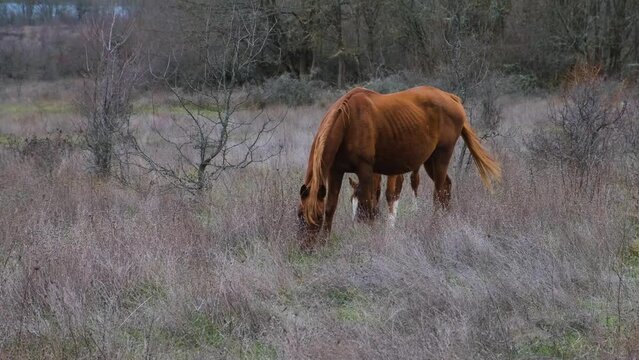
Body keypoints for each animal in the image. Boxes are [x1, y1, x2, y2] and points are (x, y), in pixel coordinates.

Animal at [298, 86, 502, 249]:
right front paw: (325, 242)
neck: (348, 122)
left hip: (442, 156)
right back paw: (446, 221)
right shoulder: (335, 171)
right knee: (446, 186)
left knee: (438, 193)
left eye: (316, 217)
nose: (306, 248)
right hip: (430, 161)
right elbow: (331, 206)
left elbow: (369, 205)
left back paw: (435, 226)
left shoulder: (365, 170)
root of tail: (451, 97)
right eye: (300, 215)